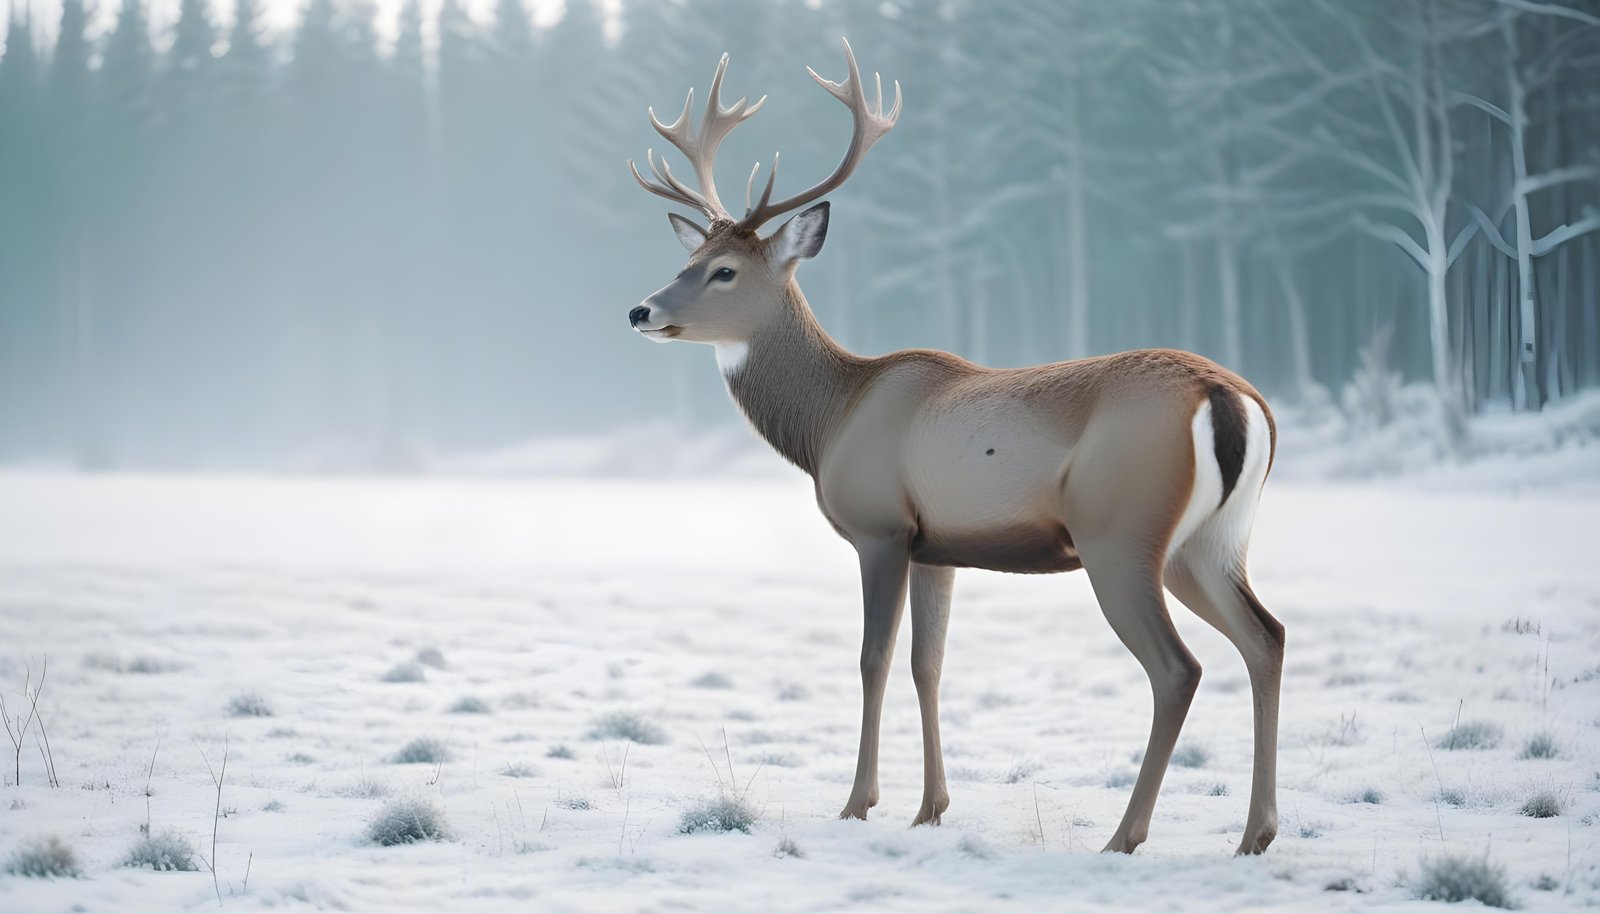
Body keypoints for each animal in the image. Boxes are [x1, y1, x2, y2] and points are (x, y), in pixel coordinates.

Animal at [625, 41, 1283, 856]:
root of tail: (1232, 401)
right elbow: (927, 664)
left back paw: (1125, 837)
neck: (833, 417)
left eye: (725, 271)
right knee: (1266, 638)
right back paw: (1256, 834)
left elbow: (873, 659)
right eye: (688, 259)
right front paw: (931, 806)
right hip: (1212, 541)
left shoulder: (880, 527)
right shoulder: (937, 547)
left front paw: (859, 802)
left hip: (1122, 530)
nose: (641, 309)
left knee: (1178, 668)